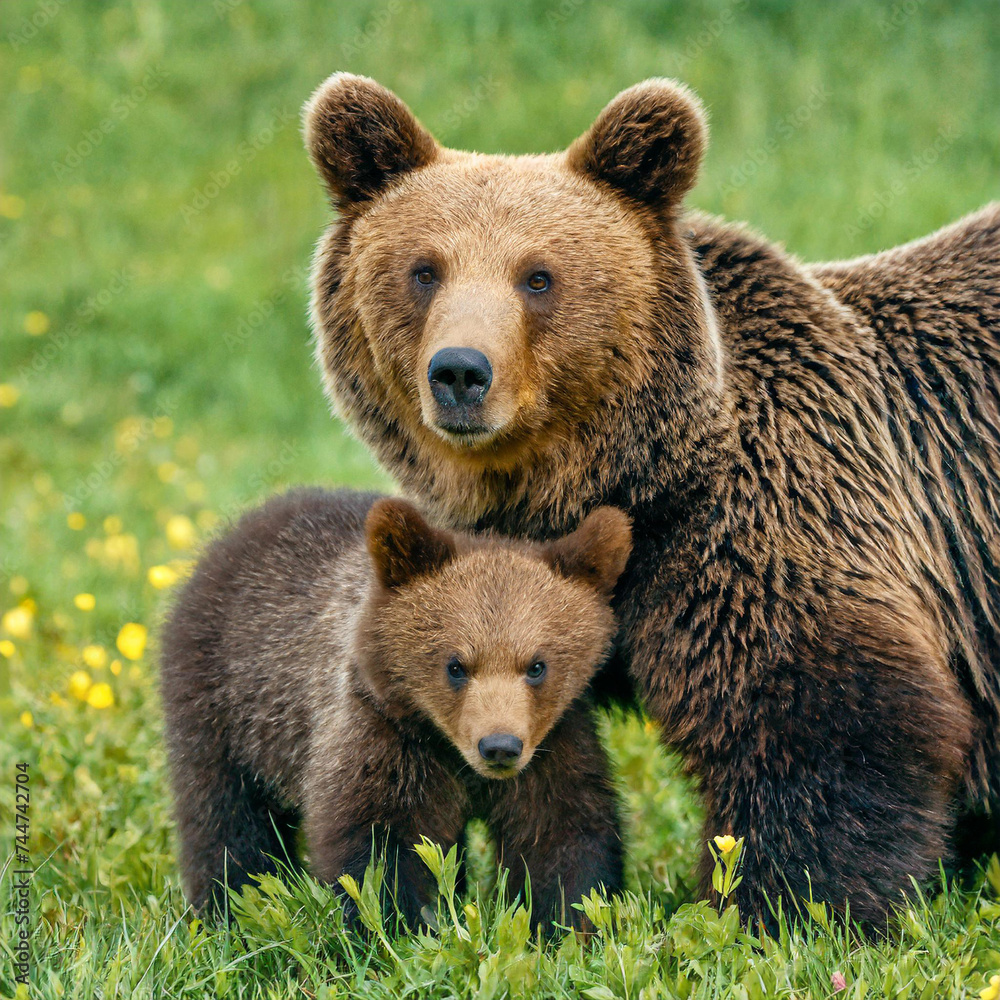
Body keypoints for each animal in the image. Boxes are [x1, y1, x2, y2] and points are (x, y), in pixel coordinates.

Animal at [160, 488, 633, 931]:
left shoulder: (552, 743)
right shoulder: (384, 735)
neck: (451, 752)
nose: (499, 746)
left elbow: (562, 832)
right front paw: (394, 926)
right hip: (227, 704)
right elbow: (377, 848)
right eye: (455, 665)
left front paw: (565, 925)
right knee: (224, 816)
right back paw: (229, 909)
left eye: (537, 665)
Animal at [302, 72, 1000, 927]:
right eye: (424, 270)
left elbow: (825, 722)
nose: (460, 372)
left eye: (538, 276)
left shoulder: (766, 513)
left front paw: (781, 907)